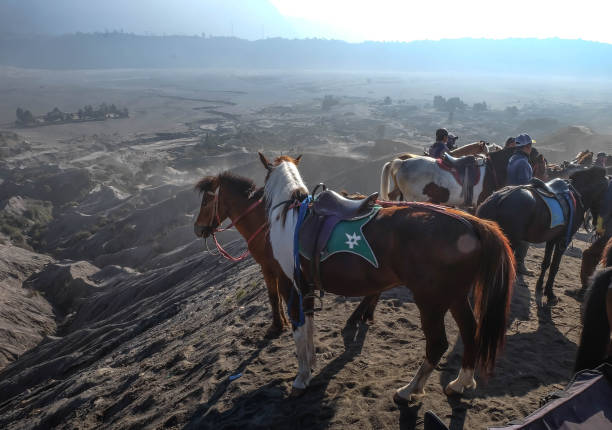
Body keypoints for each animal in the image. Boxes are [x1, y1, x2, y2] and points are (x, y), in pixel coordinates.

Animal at [258, 153, 516, 402]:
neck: (290, 219)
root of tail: (472, 223)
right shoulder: (307, 288)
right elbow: (309, 328)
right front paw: (311, 364)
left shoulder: (292, 287)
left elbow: (300, 333)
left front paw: (301, 378)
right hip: (456, 297)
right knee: (470, 331)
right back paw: (460, 383)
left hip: (431, 302)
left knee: (437, 344)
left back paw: (409, 390)